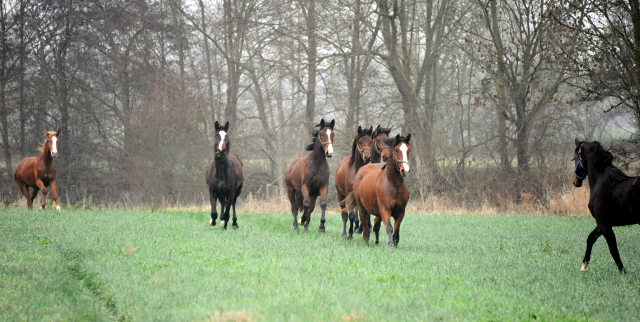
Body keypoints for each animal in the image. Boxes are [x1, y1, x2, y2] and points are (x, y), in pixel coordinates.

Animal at [568, 138, 640, 272]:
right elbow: (590, 238)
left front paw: (622, 271)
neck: (602, 181)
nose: (575, 181)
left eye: (575, 156)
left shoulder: (604, 223)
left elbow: (613, 248)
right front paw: (584, 265)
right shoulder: (603, 223)